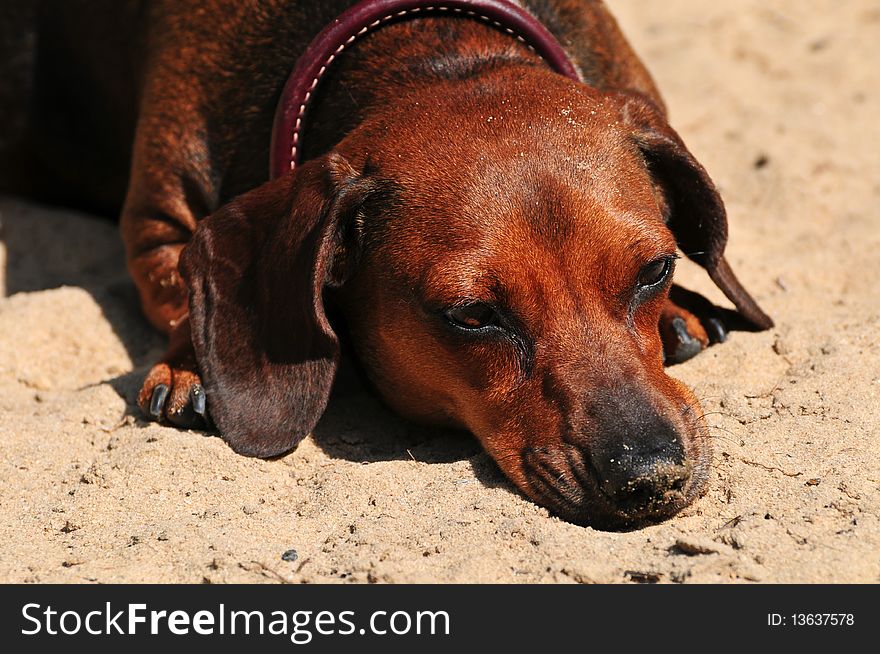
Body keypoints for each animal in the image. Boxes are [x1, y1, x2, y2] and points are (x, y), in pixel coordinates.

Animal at [0, 0, 768, 532]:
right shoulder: (158, 222)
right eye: (473, 316)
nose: (651, 478)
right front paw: (191, 361)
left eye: (656, 269)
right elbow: (180, 285)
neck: (435, 50)